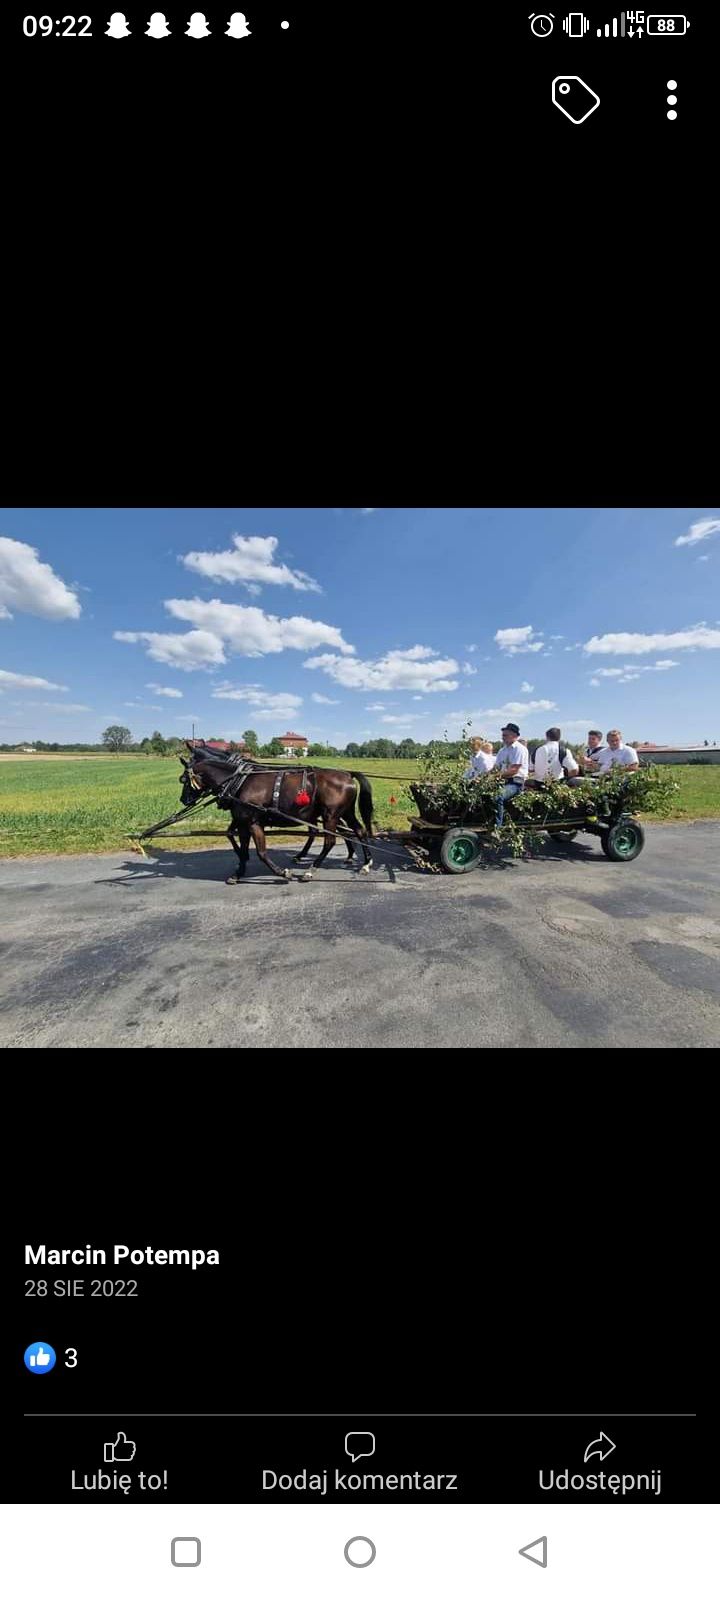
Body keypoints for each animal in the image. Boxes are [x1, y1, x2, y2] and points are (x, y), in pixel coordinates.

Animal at [179, 742, 374, 883]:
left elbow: (261, 852)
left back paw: (311, 870)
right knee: (359, 831)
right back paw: (365, 863)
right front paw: (239, 870)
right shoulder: (242, 820)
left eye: (183, 779)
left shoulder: (253, 822)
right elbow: (235, 838)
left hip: (330, 815)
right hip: (344, 812)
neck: (240, 780)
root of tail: (347, 775)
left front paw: (282, 872)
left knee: (330, 841)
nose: (183, 800)